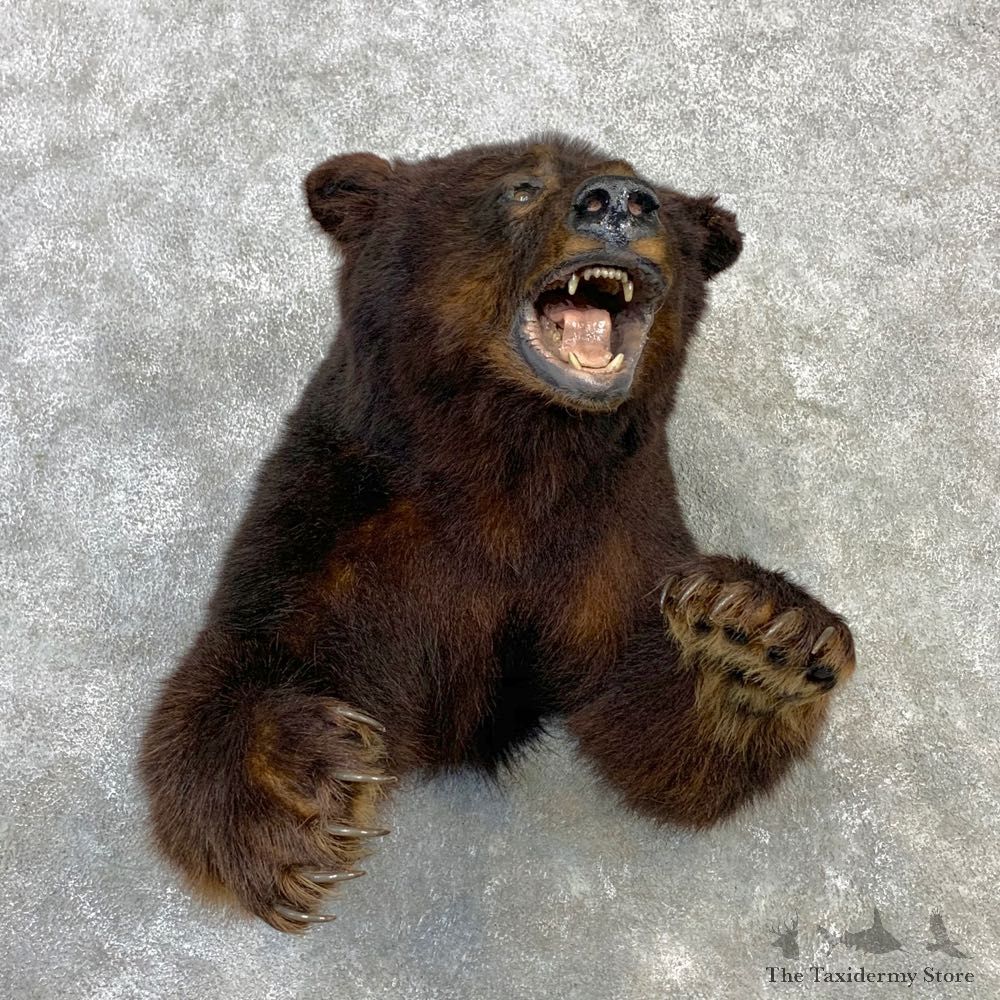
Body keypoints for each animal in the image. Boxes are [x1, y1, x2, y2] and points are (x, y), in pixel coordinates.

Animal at [139, 133, 856, 933]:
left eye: (656, 200)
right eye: (520, 187)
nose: (618, 203)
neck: (511, 466)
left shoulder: (611, 535)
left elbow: (647, 730)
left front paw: (758, 634)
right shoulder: (335, 515)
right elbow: (243, 658)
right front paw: (297, 791)